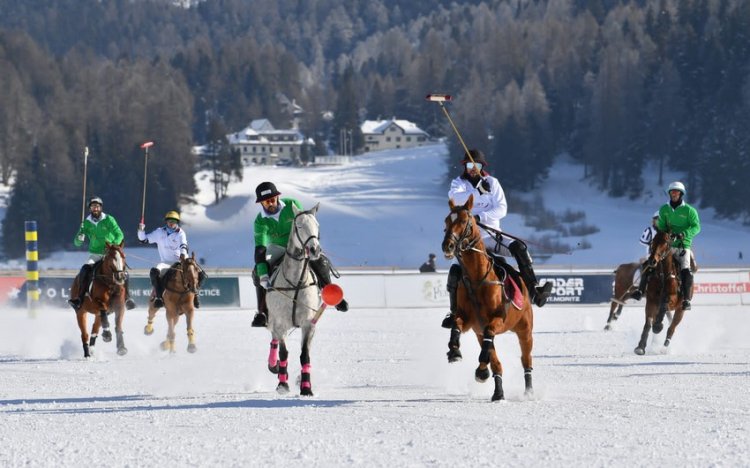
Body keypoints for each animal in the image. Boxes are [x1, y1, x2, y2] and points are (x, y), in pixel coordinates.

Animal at [266, 204, 322, 394]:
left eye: (317, 225)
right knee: (274, 340)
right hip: (273, 320)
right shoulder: (280, 323)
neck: (296, 282)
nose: (314, 250)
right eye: (299, 226)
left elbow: (305, 354)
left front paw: (306, 387)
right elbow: (284, 352)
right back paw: (274, 367)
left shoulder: (308, 323)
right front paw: (282, 384)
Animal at [444, 196, 536, 400]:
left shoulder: (498, 320)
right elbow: (457, 325)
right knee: (495, 360)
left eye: (465, 221)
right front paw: (454, 351)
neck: (477, 279)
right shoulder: (471, 322)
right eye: (446, 221)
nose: (448, 246)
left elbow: (489, 341)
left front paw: (480, 370)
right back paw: (498, 392)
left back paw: (529, 392)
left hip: (525, 330)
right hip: (481, 331)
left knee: (526, 361)